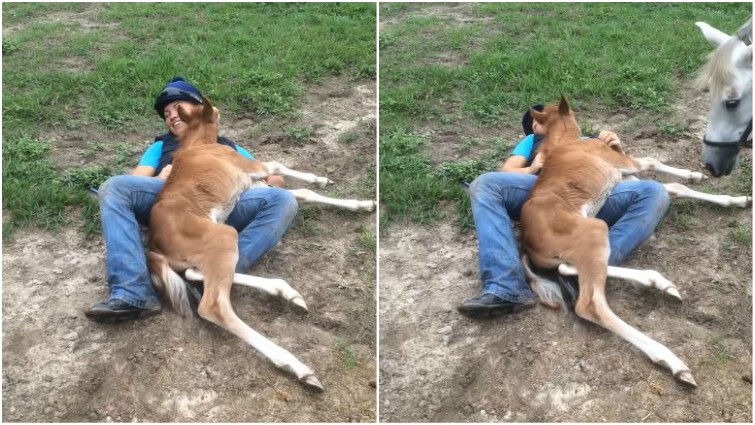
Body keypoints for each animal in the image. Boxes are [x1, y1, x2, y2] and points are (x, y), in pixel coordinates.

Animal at [146, 96, 374, 392]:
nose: (218, 107)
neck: (199, 144)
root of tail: (154, 245)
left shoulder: (253, 186)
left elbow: (301, 193)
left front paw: (362, 203)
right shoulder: (249, 168)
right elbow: (278, 164)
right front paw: (321, 178)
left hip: (214, 244)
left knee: (195, 274)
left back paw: (287, 293)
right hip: (224, 235)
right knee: (213, 304)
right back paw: (297, 367)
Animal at [519, 96, 750, 388]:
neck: (565, 141)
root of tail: (525, 242)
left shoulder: (624, 178)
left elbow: (672, 188)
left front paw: (736, 199)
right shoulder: (622, 163)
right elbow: (652, 161)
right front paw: (694, 173)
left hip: (585, 242)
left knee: (567, 268)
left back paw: (659, 283)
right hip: (594, 229)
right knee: (589, 303)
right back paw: (671, 360)